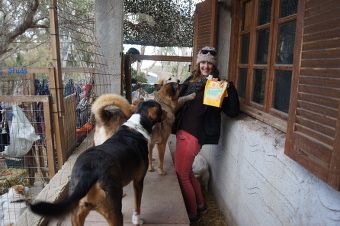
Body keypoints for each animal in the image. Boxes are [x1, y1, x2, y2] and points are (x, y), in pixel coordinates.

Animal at [28, 100, 164, 226]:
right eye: (161, 109)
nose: (167, 113)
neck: (136, 126)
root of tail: (88, 172)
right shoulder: (138, 181)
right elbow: (137, 204)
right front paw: (137, 220)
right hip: (114, 214)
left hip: (76, 216)